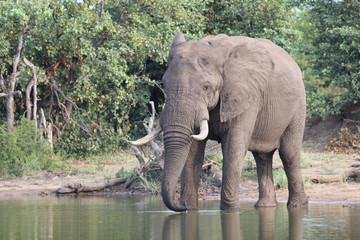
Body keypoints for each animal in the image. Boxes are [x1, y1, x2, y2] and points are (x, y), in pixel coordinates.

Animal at [131, 32, 308, 212]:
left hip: (298, 104)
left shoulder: (246, 95)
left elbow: (233, 148)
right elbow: (193, 153)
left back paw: (298, 205)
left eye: (206, 87)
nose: (182, 204)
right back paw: (266, 206)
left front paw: (230, 211)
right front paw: (191, 209)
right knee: (262, 157)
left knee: (288, 153)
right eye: (164, 84)